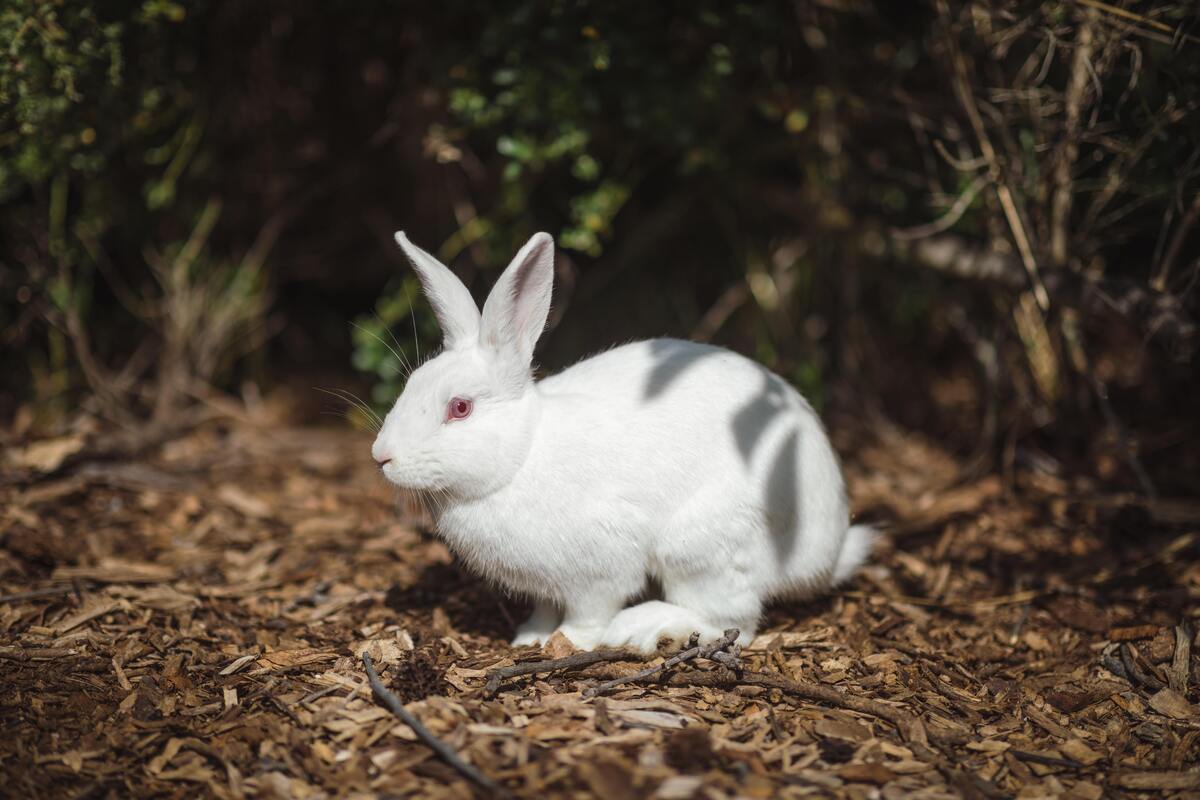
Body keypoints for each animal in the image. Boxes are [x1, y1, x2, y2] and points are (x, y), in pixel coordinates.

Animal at [374, 227, 873, 652]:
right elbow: (543, 609)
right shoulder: (545, 588)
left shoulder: (599, 570)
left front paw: (568, 643)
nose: (382, 457)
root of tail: (827, 552)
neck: (521, 457)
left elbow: (589, 613)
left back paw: (643, 627)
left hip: (702, 549)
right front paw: (529, 637)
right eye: (411, 384)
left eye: (460, 408)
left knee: (734, 623)